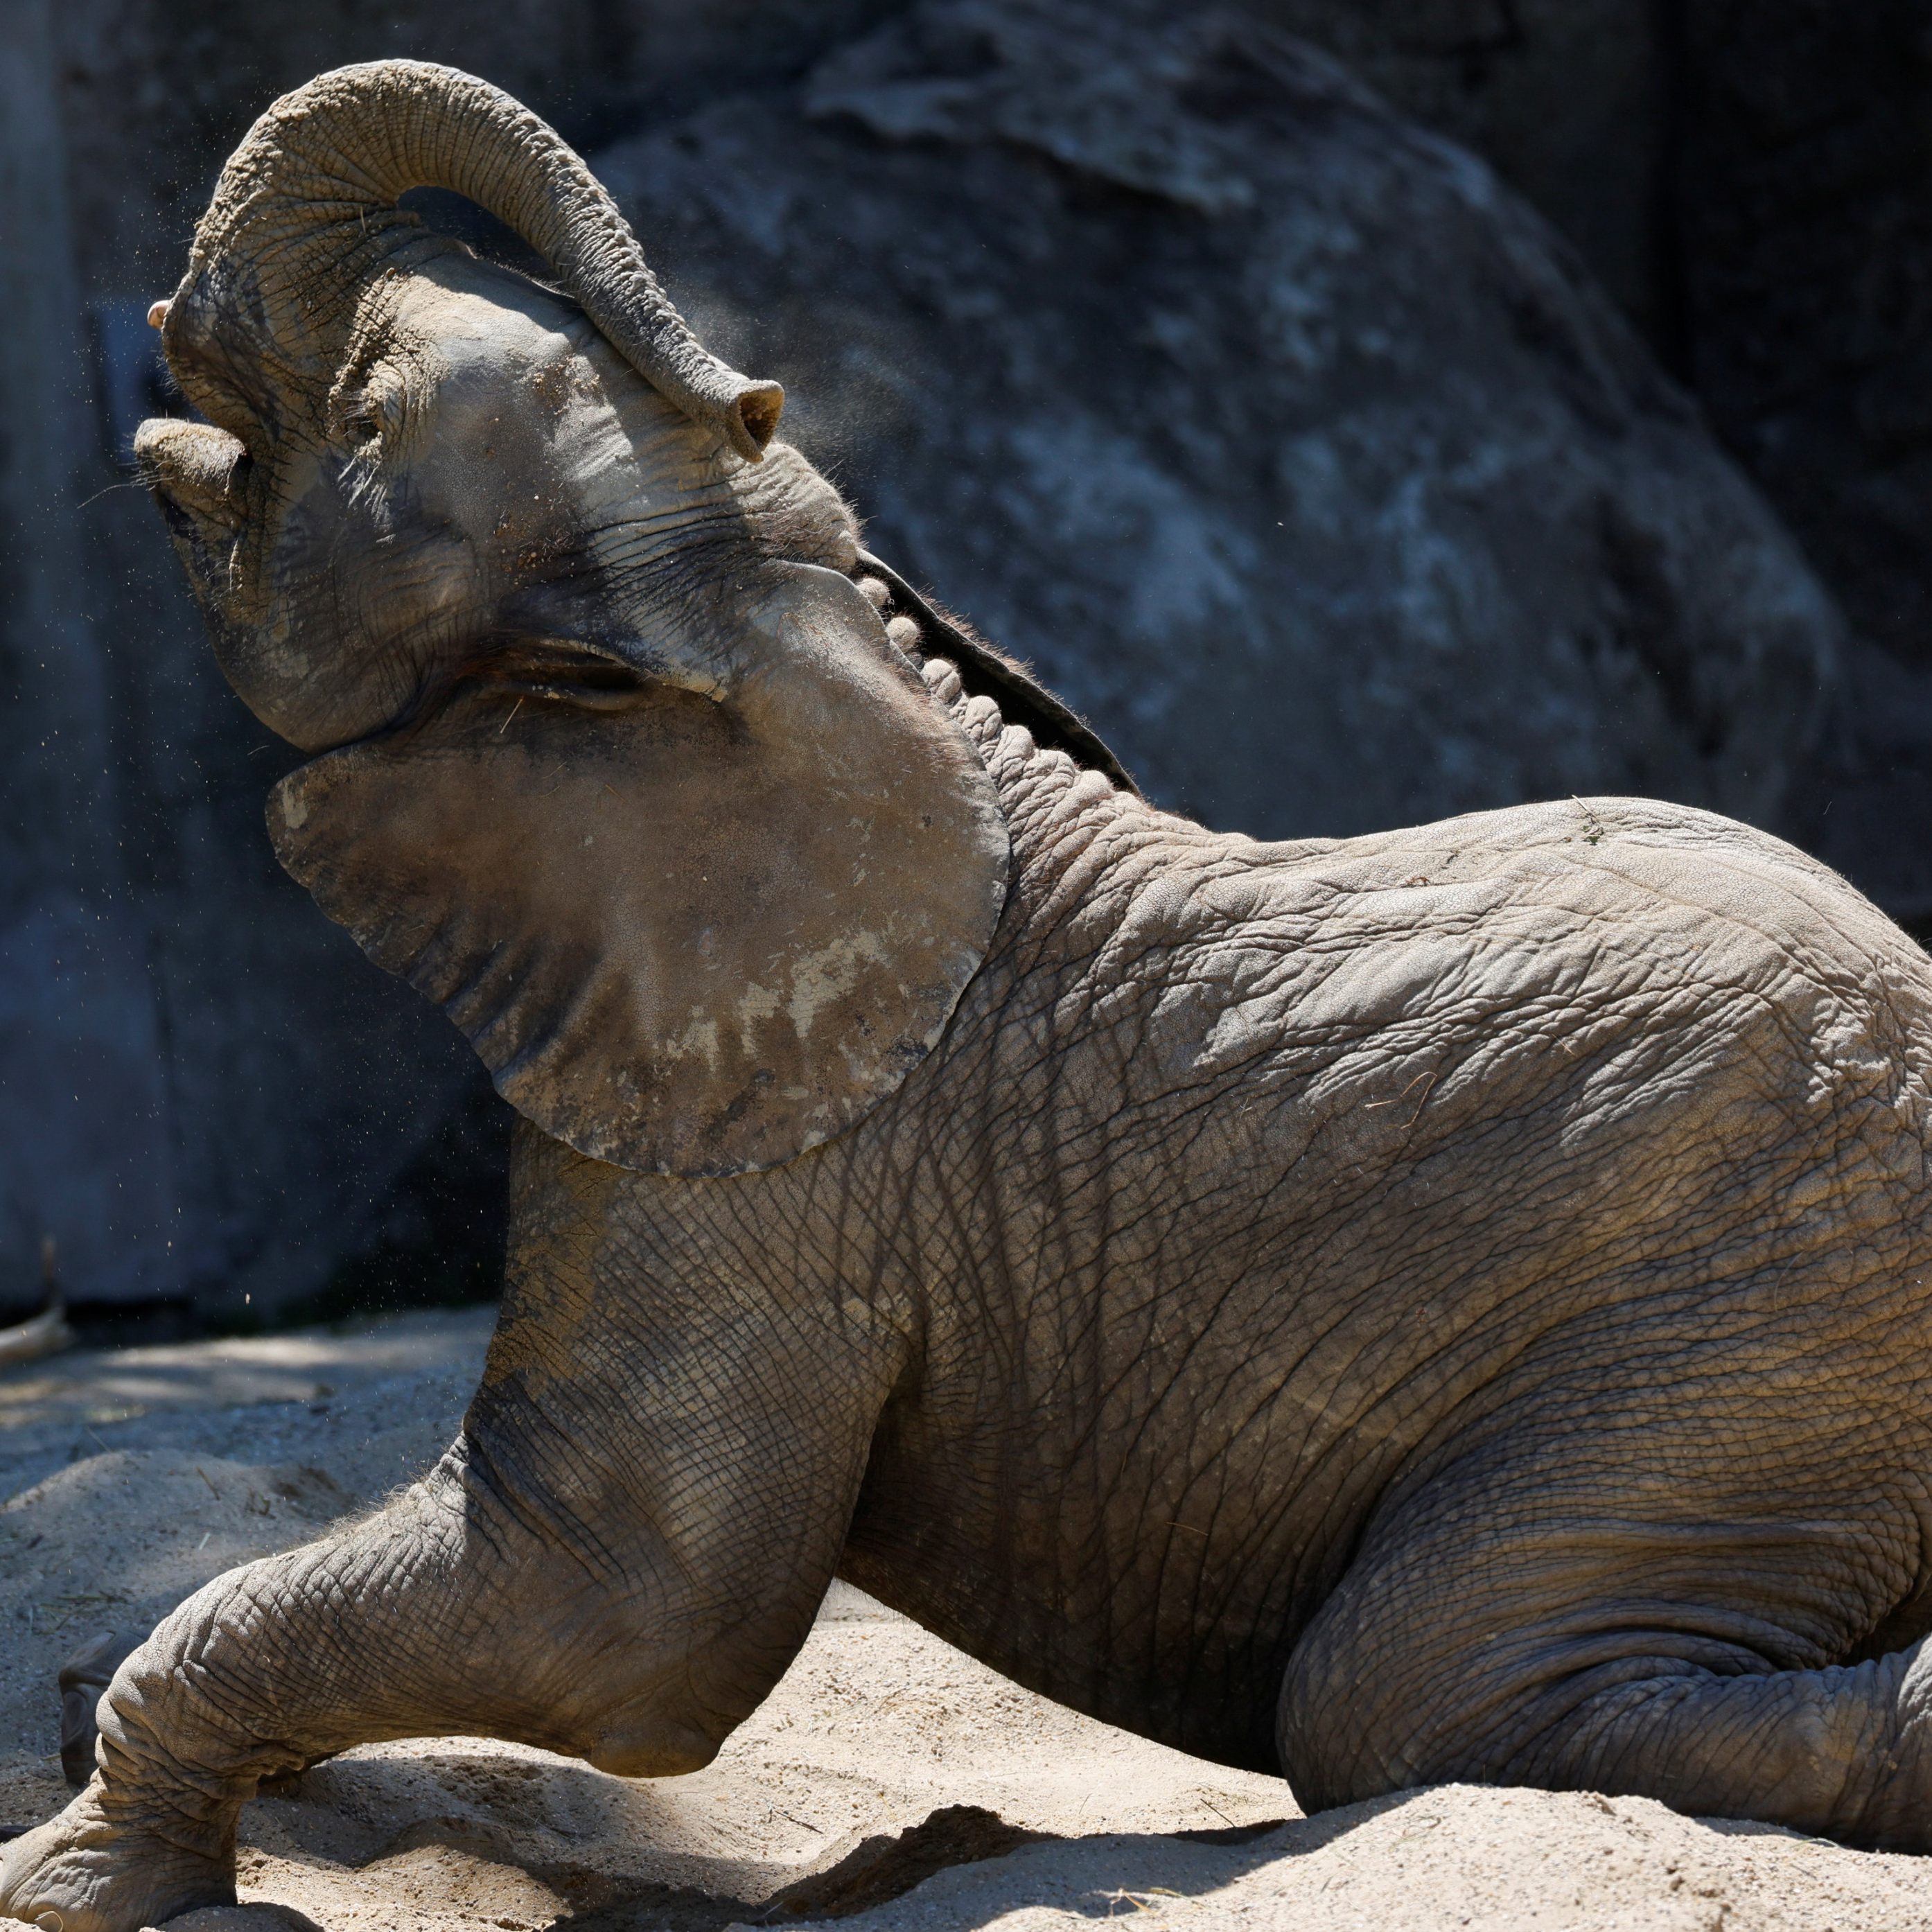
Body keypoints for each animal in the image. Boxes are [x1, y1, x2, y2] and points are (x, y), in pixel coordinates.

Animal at [6, 57, 1932, 1929]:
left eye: (373, 416)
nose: (747, 376)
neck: (792, 630)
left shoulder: (773, 1150)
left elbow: (618, 1609)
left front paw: (71, 1886)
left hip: (1735, 1329)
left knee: (1400, 1681)